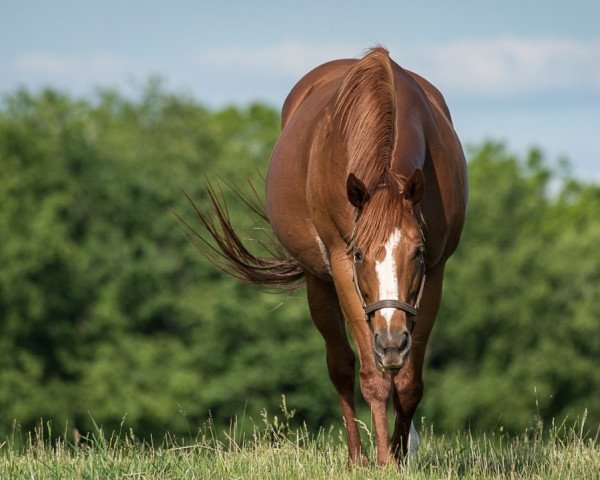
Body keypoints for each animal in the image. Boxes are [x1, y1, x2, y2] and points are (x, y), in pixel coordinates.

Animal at [195, 47, 466, 466]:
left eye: (417, 252)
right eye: (359, 254)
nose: (391, 341)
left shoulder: (435, 273)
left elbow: (408, 382)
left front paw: (400, 454)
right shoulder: (340, 268)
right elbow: (371, 376)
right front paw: (384, 461)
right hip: (319, 284)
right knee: (341, 365)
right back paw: (357, 457)